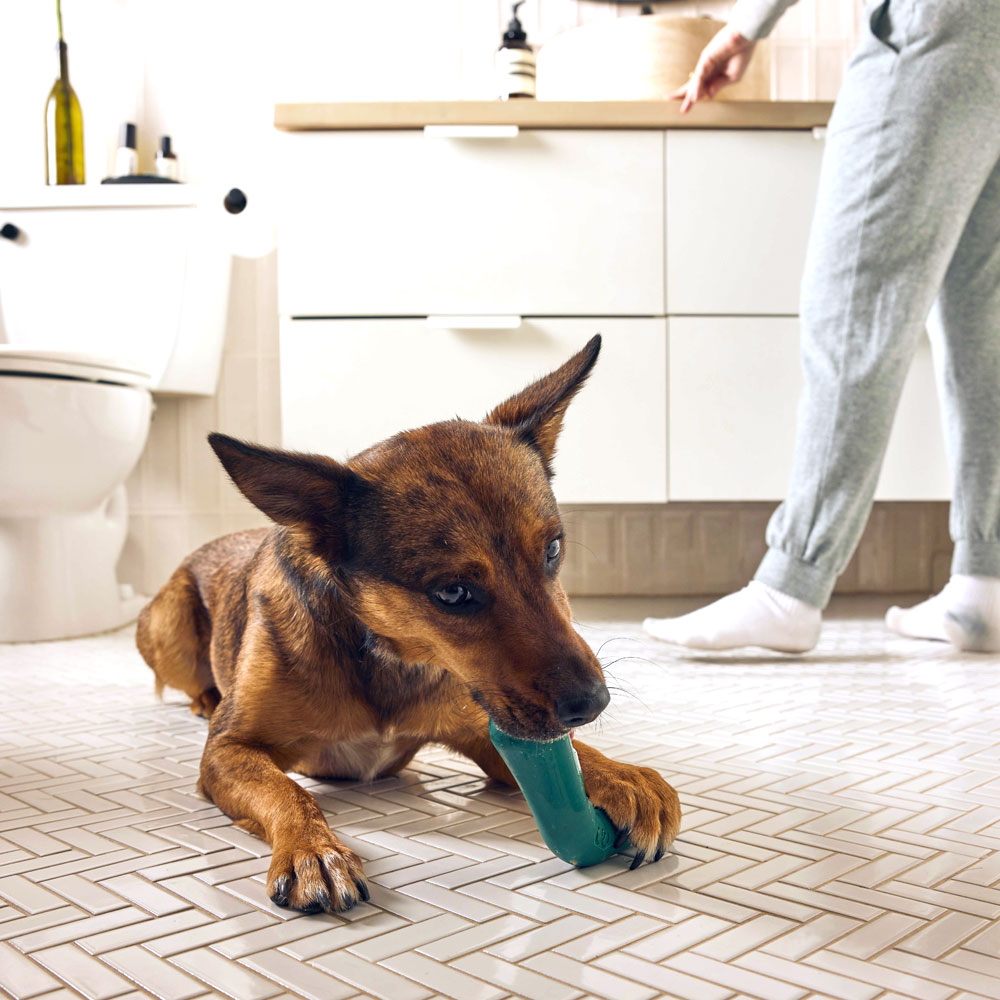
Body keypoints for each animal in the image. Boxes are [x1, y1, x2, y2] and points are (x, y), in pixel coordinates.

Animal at [137, 336, 680, 916]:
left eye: (553, 550)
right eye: (453, 593)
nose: (594, 704)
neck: (387, 654)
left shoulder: (485, 733)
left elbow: (574, 755)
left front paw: (620, 773)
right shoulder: (228, 751)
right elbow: (286, 791)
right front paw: (312, 848)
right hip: (168, 628)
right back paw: (203, 698)